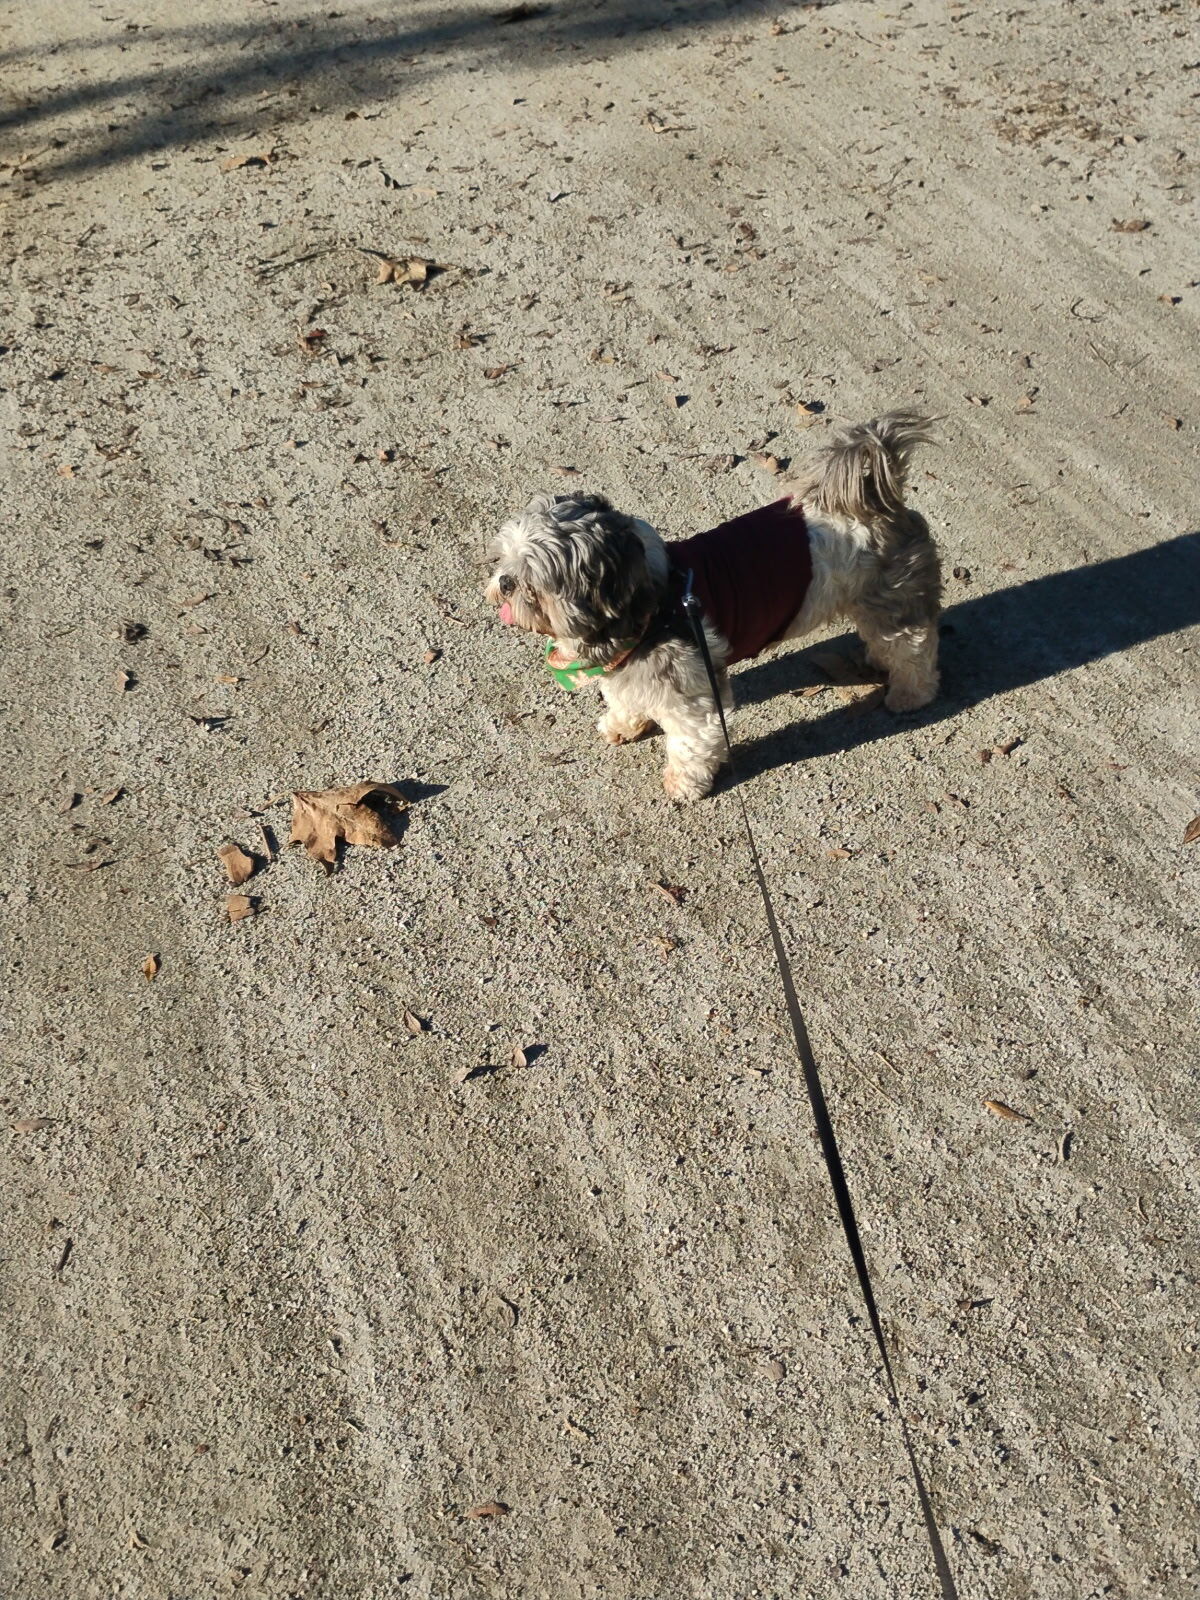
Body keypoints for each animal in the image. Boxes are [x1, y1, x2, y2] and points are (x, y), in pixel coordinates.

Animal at [484, 413, 941, 802]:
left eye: (533, 581)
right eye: (504, 559)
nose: (504, 582)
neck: (656, 604)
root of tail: (877, 503)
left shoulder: (692, 697)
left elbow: (692, 742)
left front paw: (683, 783)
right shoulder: (628, 671)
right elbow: (625, 700)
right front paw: (622, 725)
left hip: (893, 606)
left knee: (914, 648)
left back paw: (910, 694)